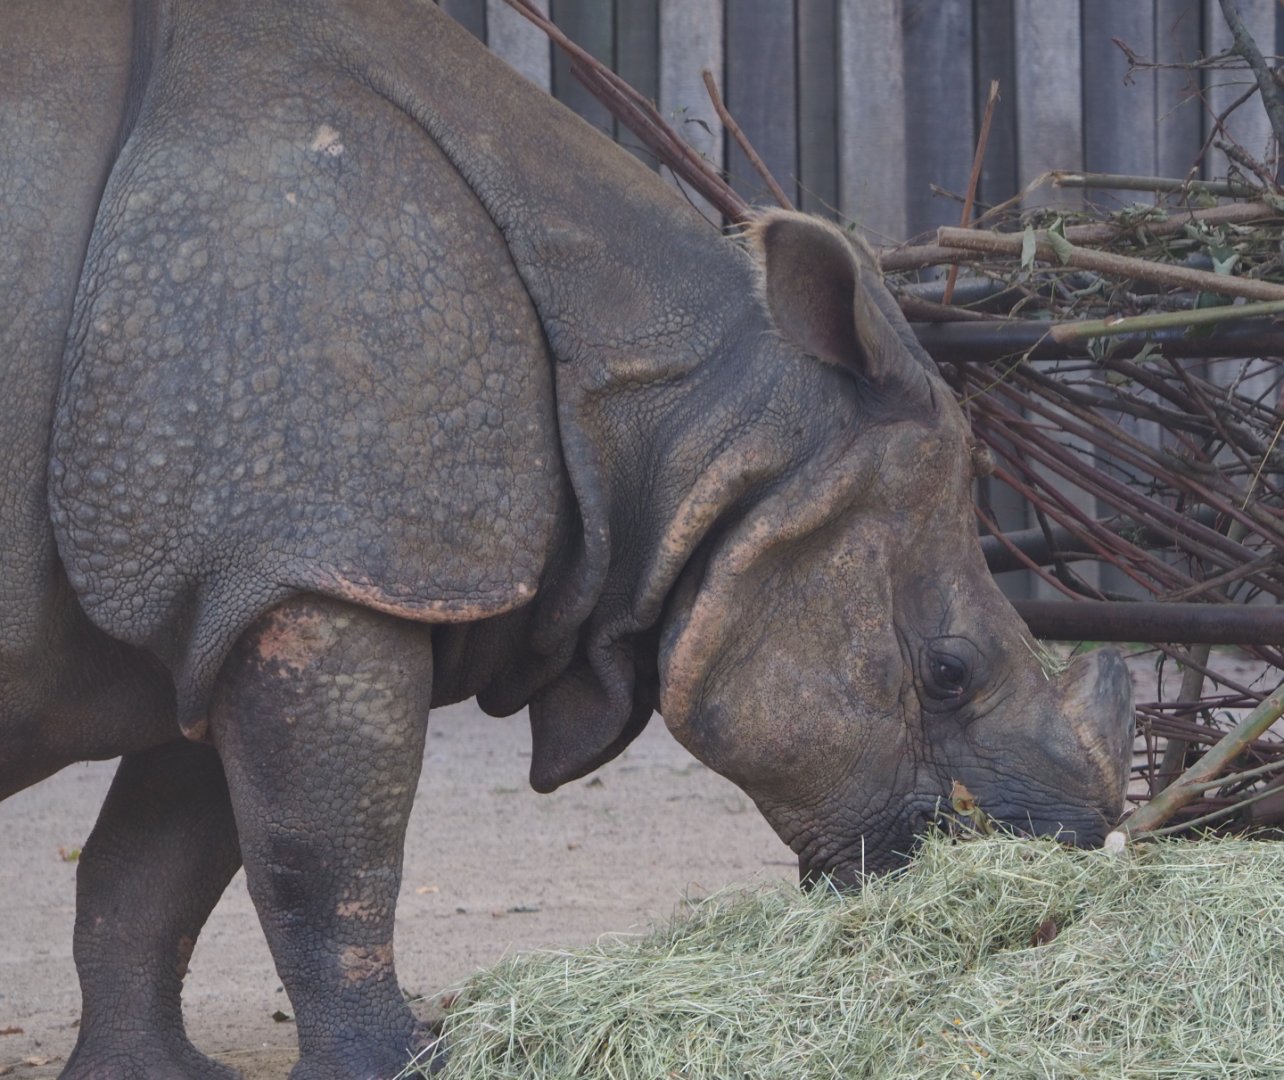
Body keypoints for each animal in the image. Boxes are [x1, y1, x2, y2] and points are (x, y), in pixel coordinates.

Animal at [1, 0, 1134, 1076]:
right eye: (948, 673)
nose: (1067, 857)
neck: (692, 425)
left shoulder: (248, 572)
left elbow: (154, 865)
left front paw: (146, 1072)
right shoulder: (323, 558)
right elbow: (322, 859)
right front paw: (405, 1063)